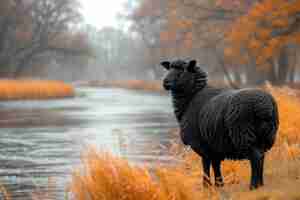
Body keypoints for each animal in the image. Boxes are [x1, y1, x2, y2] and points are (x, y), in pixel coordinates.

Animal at [162, 59, 278, 189]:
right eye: (169, 68)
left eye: (182, 70)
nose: (165, 82)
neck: (191, 99)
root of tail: (264, 106)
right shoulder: (214, 145)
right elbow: (216, 165)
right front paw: (219, 185)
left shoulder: (201, 144)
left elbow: (206, 165)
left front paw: (206, 186)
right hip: (267, 135)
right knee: (262, 156)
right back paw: (261, 184)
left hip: (243, 133)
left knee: (256, 157)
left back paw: (253, 185)